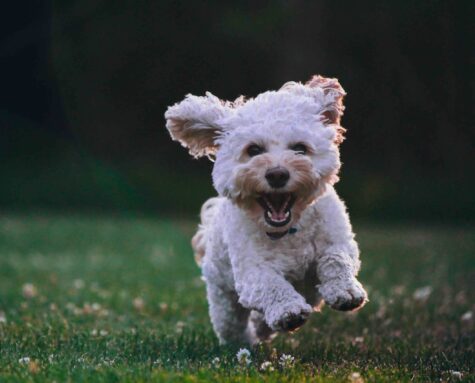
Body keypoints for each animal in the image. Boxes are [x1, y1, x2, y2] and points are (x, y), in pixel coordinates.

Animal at [165, 75, 370, 344]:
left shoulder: (339, 240)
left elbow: (336, 258)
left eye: (300, 148)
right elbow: (271, 284)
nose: (277, 174)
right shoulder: (252, 271)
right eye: (253, 150)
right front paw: (288, 310)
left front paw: (345, 291)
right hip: (223, 297)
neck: (289, 231)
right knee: (232, 324)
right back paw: (247, 341)